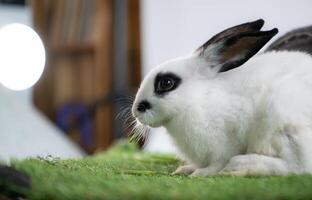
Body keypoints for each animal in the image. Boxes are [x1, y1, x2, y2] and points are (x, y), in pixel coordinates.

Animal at [131, 19, 312, 176]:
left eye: (166, 83)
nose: (136, 111)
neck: (198, 98)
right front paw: (186, 169)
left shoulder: (223, 143)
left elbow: (217, 163)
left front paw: (200, 173)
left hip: (281, 123)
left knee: (295, 166)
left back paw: (240, 166)